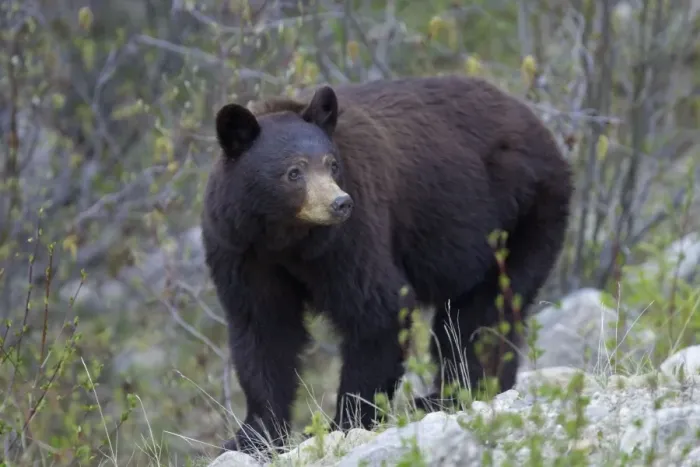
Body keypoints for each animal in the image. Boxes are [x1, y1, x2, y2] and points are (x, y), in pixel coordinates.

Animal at [201, 74, 573, 455]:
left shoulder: (352, 236)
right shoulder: (241, 249)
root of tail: (541, 130)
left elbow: (377, 310)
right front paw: (251, 435)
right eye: (294, 172)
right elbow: (263, 328)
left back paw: (451, 395)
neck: (288, 239)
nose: (340, 203)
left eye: (332, 164)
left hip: (522, 216)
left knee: (482, 315)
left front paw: (346, 421)